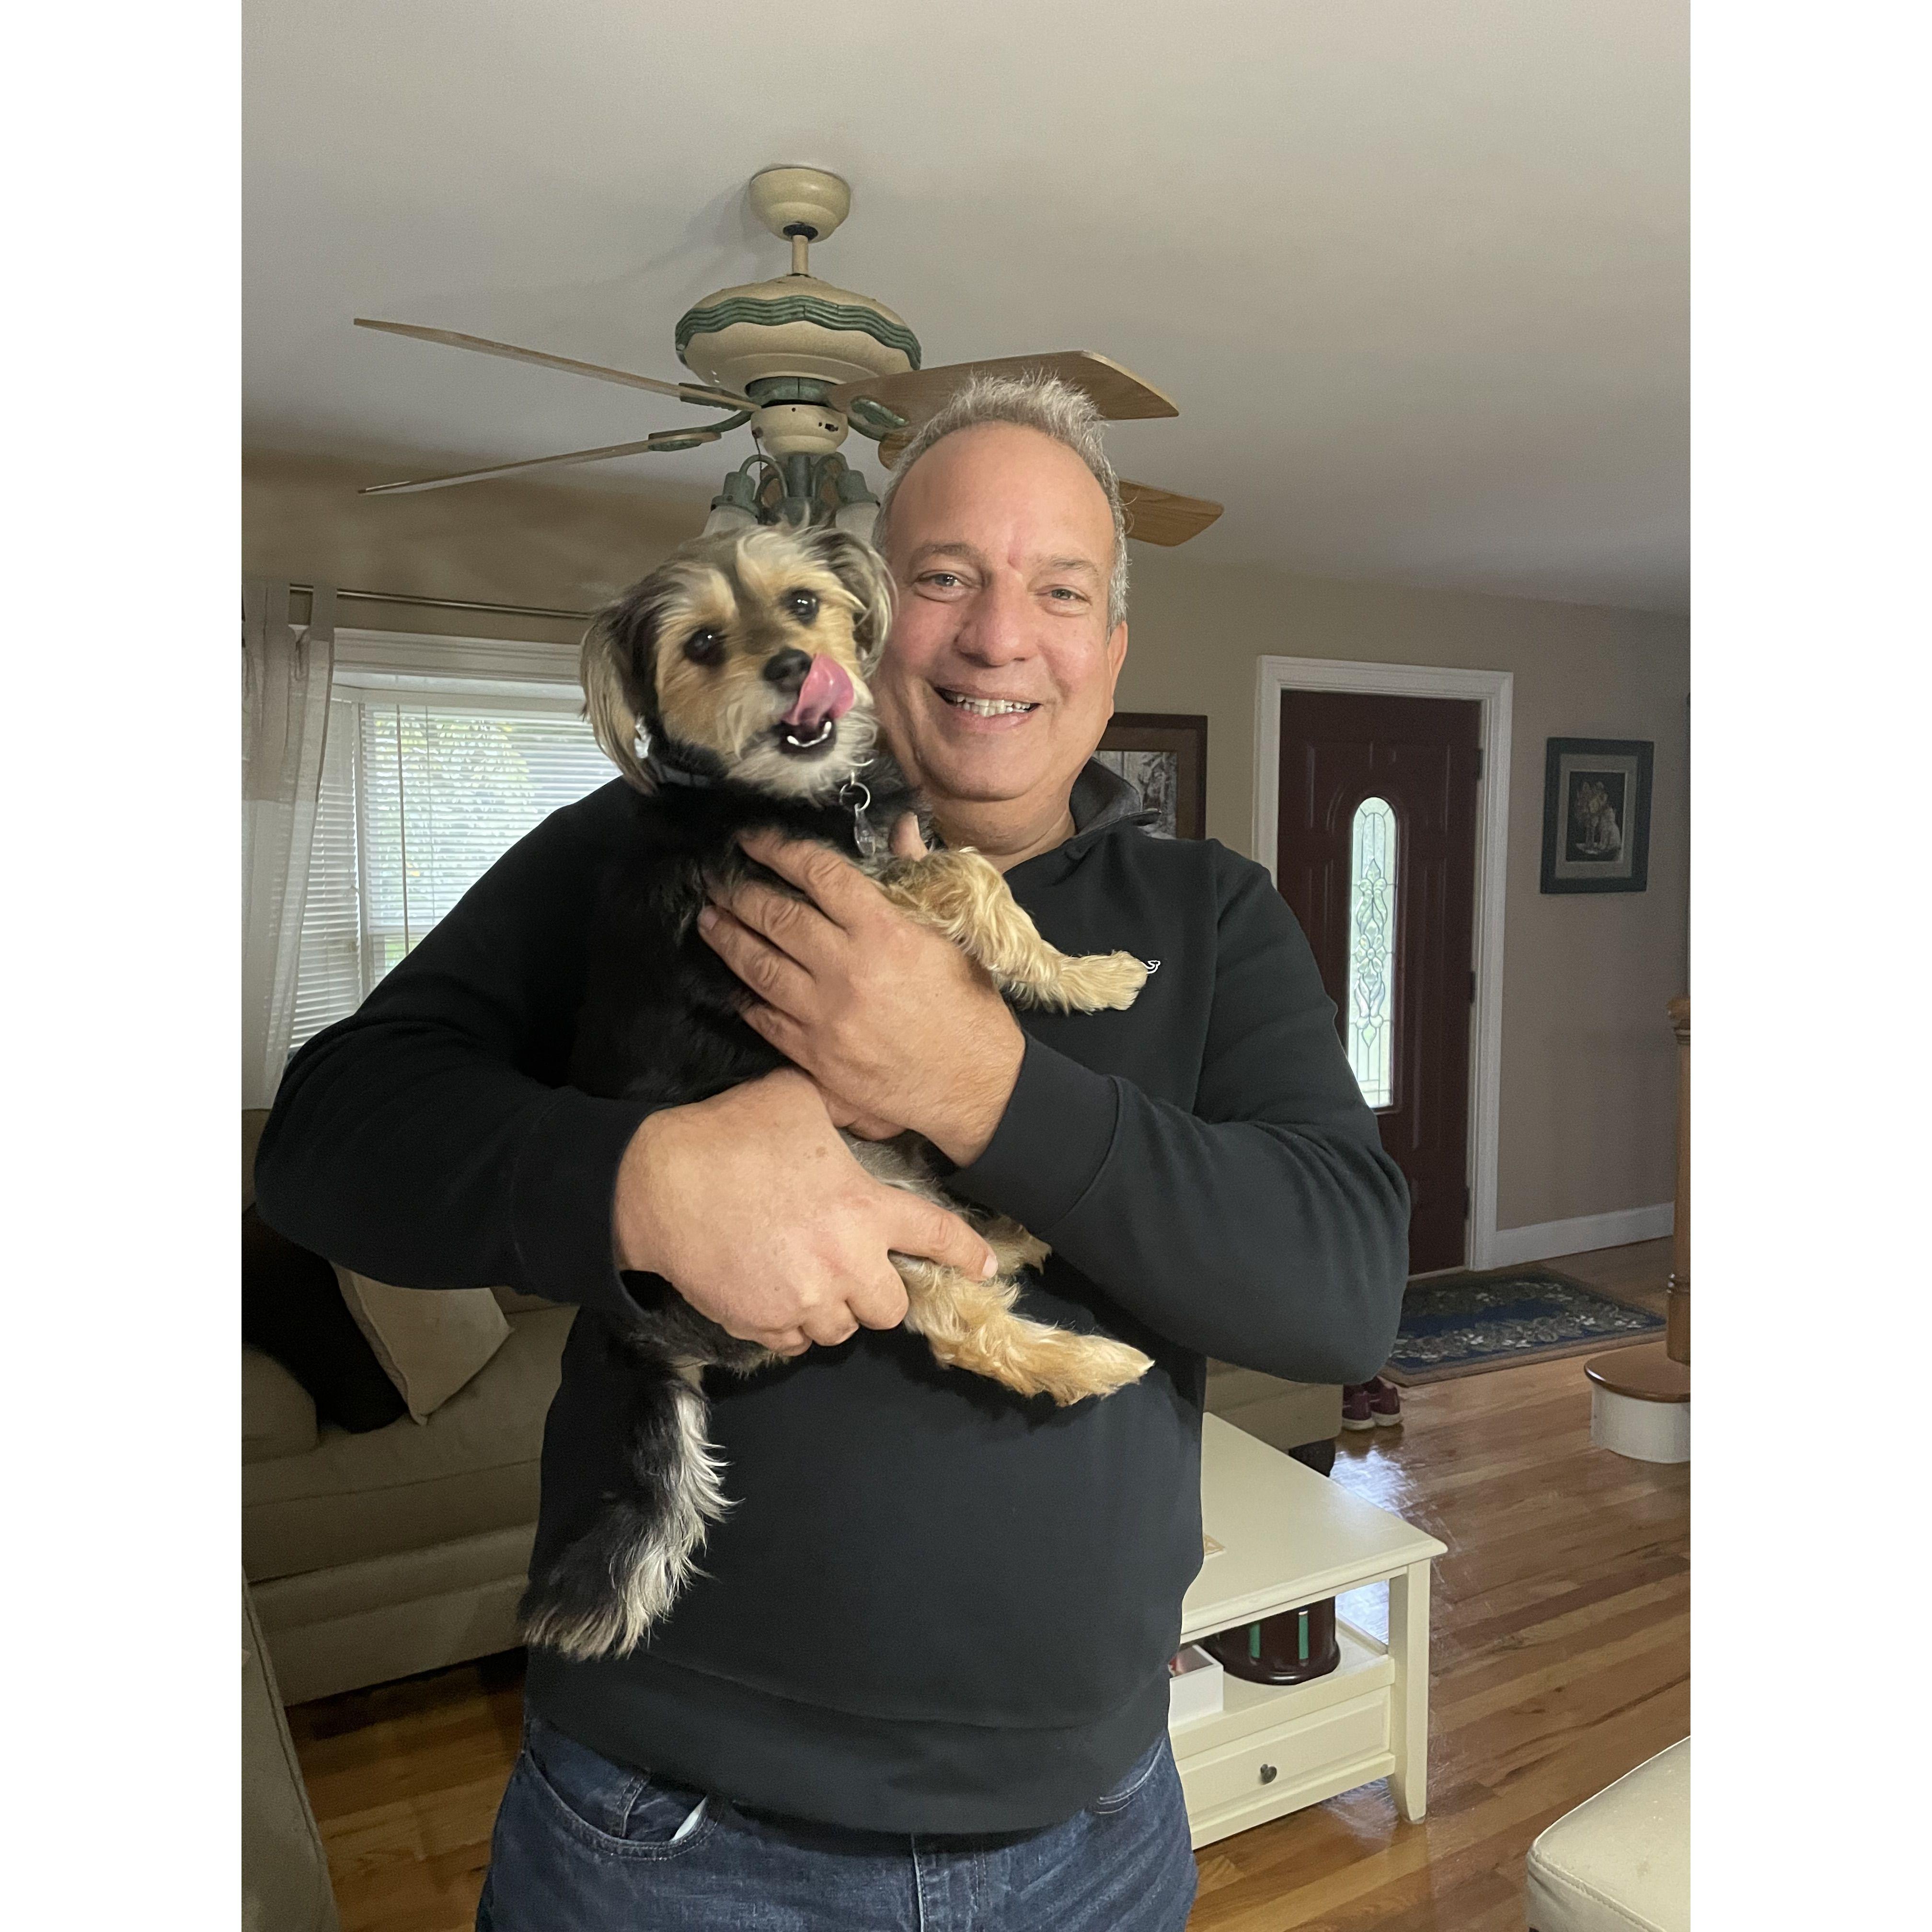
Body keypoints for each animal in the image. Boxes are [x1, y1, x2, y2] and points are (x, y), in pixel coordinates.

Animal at [516, 524, 1154, 1663]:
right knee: (954, 1317)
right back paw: (1085, 1361)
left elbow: (977, 871)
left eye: (806, 604)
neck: (802, 797)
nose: (788, 666)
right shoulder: (831, 905)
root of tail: (650, 1345)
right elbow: (976, 872)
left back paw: (1012, 1234)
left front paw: (1078, 974)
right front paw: (1078, 973)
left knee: (962, 1248)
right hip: (850, 1191)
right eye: (703, 643)